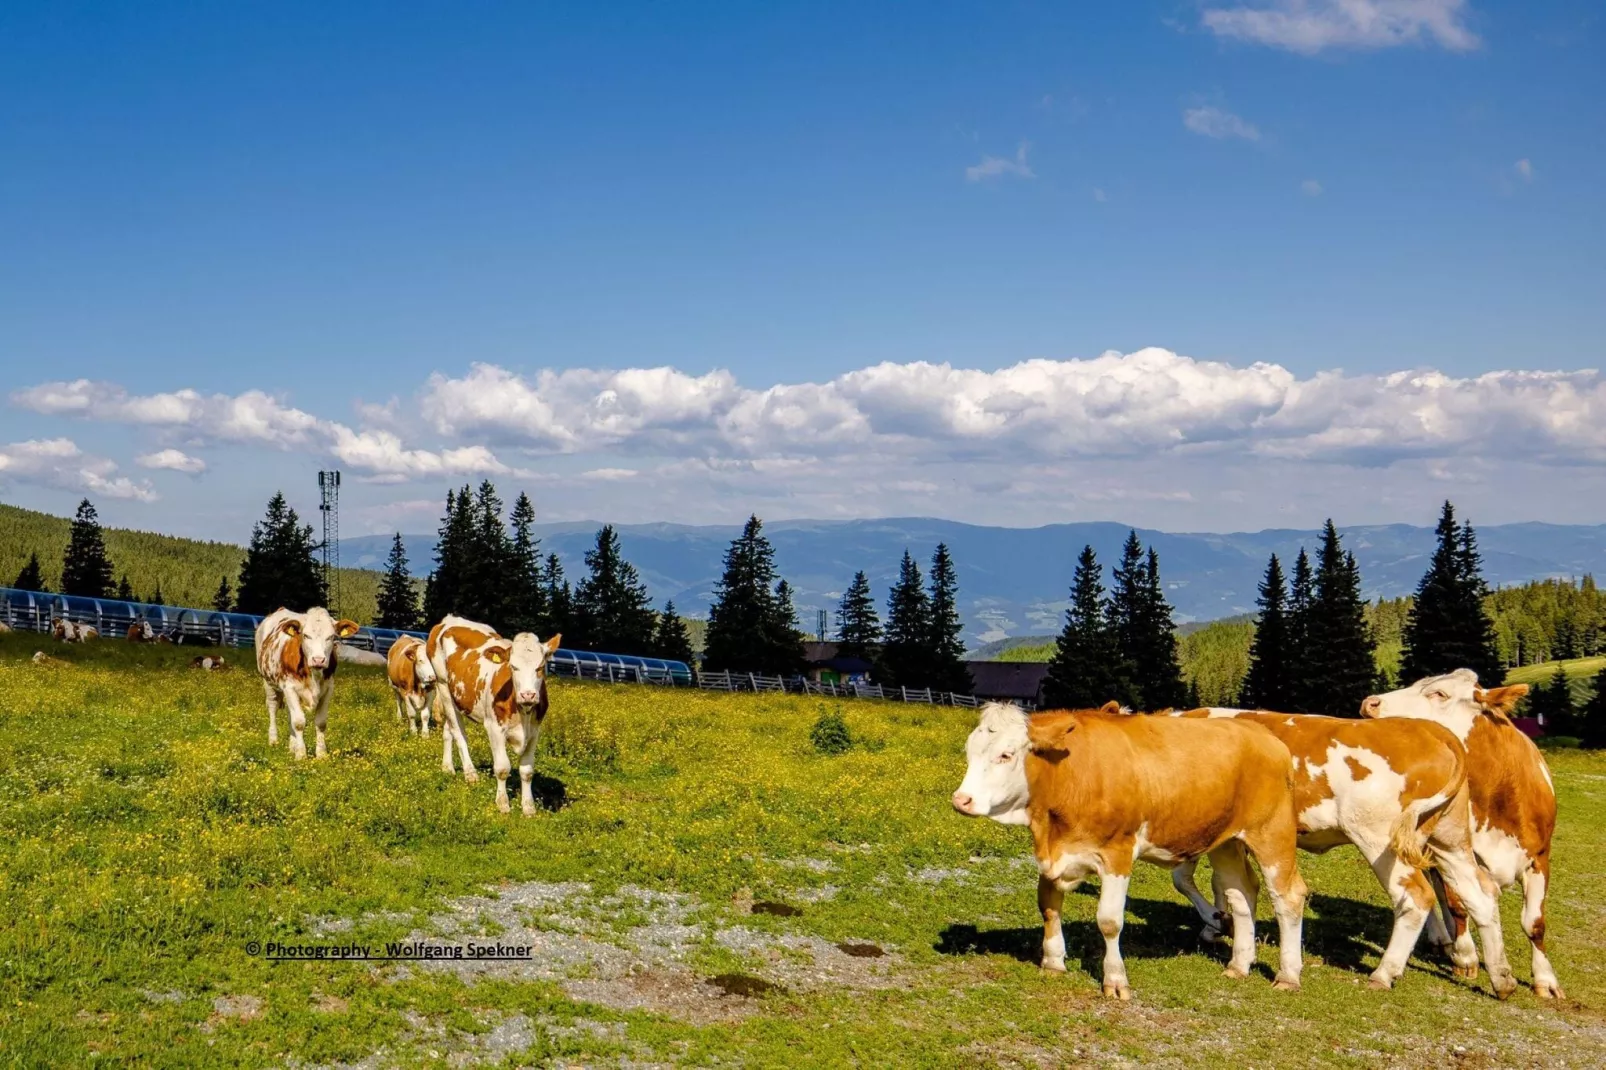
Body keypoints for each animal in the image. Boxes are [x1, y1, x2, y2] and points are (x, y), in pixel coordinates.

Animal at [253, 600, 358, 758]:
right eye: (306, 635)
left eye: (331, 637)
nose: (318, 659)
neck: (314, 675)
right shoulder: (289, 687)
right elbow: (299, 722)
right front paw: (301, 755)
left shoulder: (328, 689)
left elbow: (320, 722)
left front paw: (321, 754)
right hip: (268, 682)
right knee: (272, 706)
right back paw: (273, 740)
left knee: (289, 714)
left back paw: (292, 746)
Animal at [423, 613, 562, 812]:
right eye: (513, 666)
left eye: (541, 667)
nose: (528, 694)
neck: (523, 713)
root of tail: (450, 619)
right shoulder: (494, 728)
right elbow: (502, 768)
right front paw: (503, 804)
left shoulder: (535, 731)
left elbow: (527, 771)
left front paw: (528, 808)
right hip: (443, 687)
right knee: (459, 734)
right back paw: (470, 774)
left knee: (448, 730)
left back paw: (447, 767)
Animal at [950, 703, 1304, 996]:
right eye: (969, 752)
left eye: (1006, 755)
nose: (961, 800)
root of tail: (1261, 732)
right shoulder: (1051, 853)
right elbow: (1048, 906)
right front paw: (1052, 962)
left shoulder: (1117, 853)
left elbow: (1109, 921)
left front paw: (1115, 979)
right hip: (1226, 841)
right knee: (1242, 894)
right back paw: (1239, 965)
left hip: (1272, 833)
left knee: (1288, 896)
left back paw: (1287, 975)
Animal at [1162, 706, 1509, 989]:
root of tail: (1429, 729)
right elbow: (1222, 883)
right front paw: (1220, 924)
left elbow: (1185, 879)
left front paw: (1215, 922)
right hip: (1450, 839)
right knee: (1480, 893)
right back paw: (1498, 977)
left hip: (1379, 838)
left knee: (1415, 896)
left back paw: (1384, 973)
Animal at [1361, 671, 1561, 996]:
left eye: (1440, 694)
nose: (1370, 703)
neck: (1497, 792)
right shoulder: (1454, 852)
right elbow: (1457, 906)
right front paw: (1465, 957)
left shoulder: (1540, 858)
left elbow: (1534, 922)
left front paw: (1546, 981)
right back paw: (1444, 939)